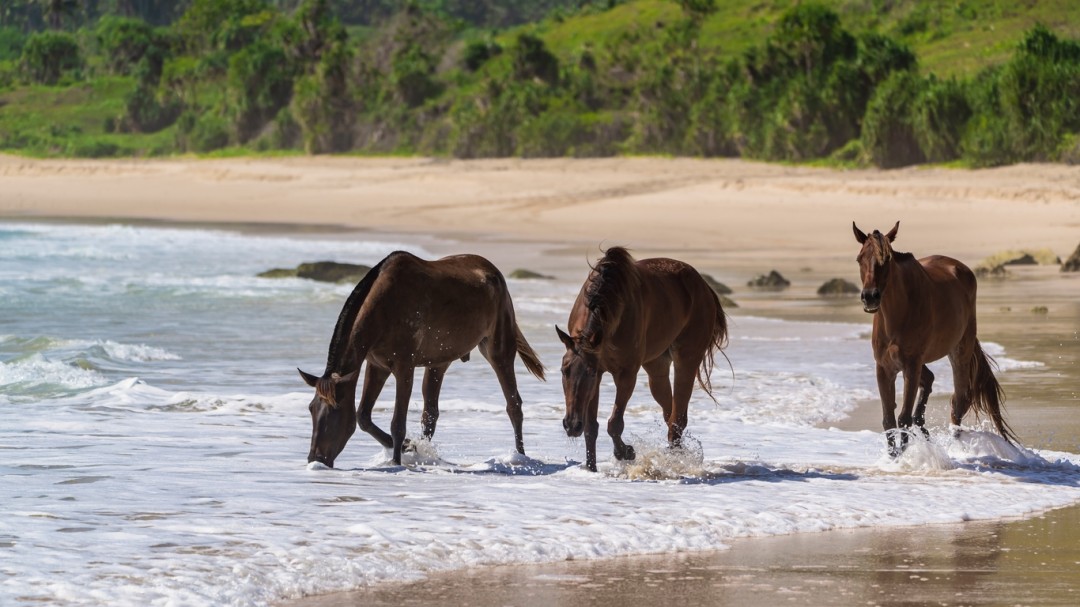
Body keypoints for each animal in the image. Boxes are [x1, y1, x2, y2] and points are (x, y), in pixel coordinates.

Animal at [298, 248, 544, 464]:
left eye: (335, 410)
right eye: (311, 408)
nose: (315, 458)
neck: (384, 308)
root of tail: (494, 273)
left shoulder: (403, 368)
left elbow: (398, 424)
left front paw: (397, 461)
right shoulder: (377, 367)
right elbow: (363, 417)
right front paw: (409, 447)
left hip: (498, 349)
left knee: (514, 404)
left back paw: (521, 456)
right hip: (438, 363)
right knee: (430, 414)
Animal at [557, 243, 725, 470]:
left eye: (589, 373)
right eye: (563, 371)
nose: (572, 425)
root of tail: (704, 286)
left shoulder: (624, 374)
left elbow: (615, 424)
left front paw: (626, 452)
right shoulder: (599, 374)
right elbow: (591, 427)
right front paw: (591, 469)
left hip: (687, 359)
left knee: (678, 418)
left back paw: (674, 462)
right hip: (657, 367)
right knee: (670, 413)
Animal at [851, 219, 1010, 451]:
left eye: (886, 259)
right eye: (859, 258)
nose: (870, 297)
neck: (896, 316)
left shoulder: (911, 366)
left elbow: (903, 419)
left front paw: (903, 455)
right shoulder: (884, 368)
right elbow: (889, 420)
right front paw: (893, 456)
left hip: (959, 353)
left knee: (958, 403)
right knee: (930, 381)